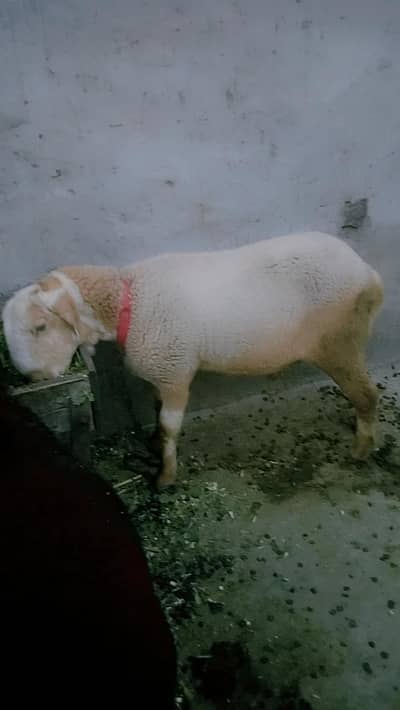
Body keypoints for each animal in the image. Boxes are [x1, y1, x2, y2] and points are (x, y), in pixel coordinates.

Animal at [2, 231, 383, 488]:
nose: (34, 379)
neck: (130, 302)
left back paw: (361, 449)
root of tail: (369, 273)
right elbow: (157, 415)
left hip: (340, 342)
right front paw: (154, 443)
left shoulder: (176, 373)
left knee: (368, 394)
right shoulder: (160, 372)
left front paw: (166, 476)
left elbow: (171, 426)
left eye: (39, 327)